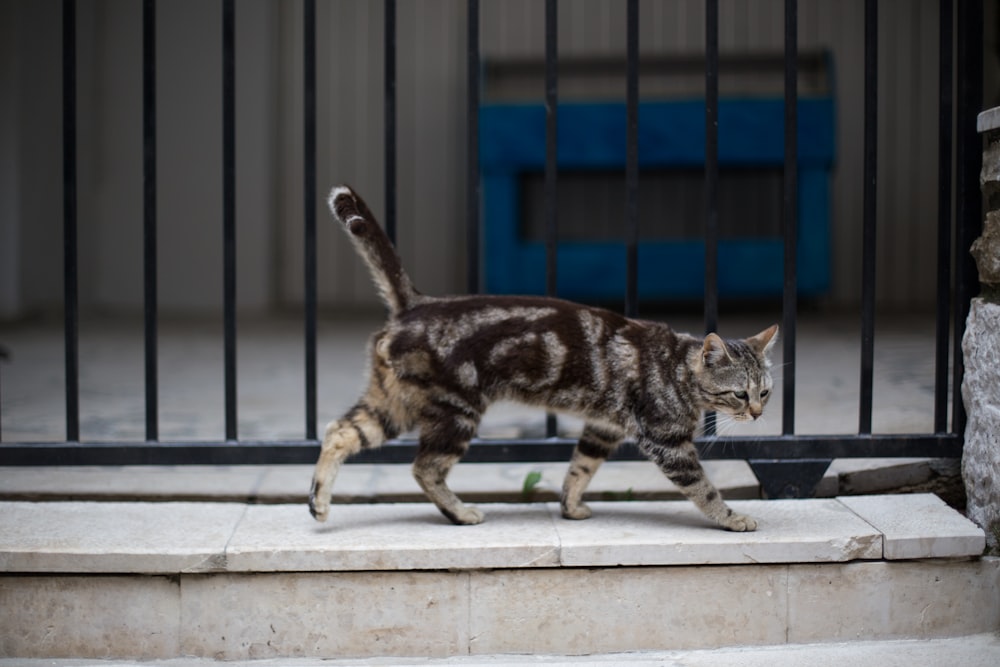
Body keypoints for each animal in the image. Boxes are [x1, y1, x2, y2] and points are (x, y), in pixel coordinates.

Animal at [308, 185, 776, 536]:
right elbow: (704, 489)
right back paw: (460, 512)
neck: (678, 368)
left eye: (766, 393)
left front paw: (569, 508)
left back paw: (318, 504)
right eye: (739, 394)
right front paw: (733, 518)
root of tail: (417, 303)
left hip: (393, 405)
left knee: (338, 432)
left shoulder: (602, 428)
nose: (757, 413)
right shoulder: (668, 443)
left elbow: (578, 470)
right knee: (424, 468)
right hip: (454, 412)